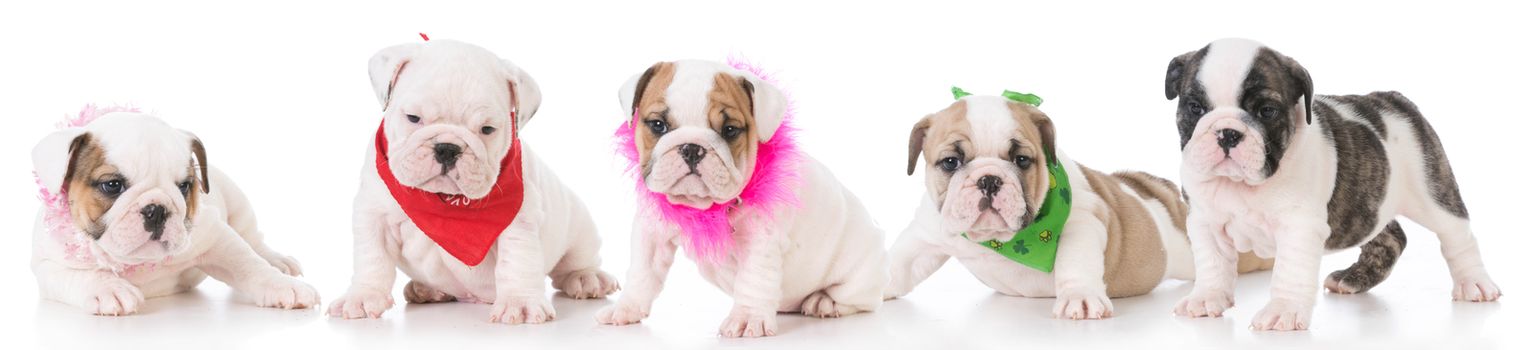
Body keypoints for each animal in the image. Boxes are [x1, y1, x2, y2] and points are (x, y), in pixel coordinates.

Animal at [31, 108, 319, 314]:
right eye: (112, 185)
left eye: (184, 186)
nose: (157, 209)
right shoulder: (46, 267)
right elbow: (78, 275)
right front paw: (108, 288)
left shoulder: (216, 237)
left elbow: (248, 264)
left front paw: (284, 286)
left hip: (239, 204)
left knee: (254, 241)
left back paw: (278, 261)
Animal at [329, 39, 616, 323]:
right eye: (413, 118)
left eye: (487, 129)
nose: (447, 148)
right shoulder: (373, 215)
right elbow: (372, 258)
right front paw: (362, 296)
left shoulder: (518, 223)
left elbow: (518, 261)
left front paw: (520, 302)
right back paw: (426, 289)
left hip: (579, 226)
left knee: (575, 260)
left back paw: (587, 277)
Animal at [595, 59, 889, 336]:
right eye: (658, 125)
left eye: (730, 130)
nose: (691, 147)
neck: (704, 207)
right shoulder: (651, 234)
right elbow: (642, 273)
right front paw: (626, 308)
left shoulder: (760, 243)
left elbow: (753, 279)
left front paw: (748, 318)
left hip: (859, 276)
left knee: (863, 300)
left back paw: (825, 301)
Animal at [883, 94, 1276, 319]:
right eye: (950, 162)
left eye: (1022, 160)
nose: (989, 179)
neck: (1004, 242)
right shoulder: (925, 234)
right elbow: (899, 263)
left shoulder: (1084, 222)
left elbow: (1076, 261)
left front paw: (1080, 297)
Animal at [1159, 38, 1497, 331]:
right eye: (1195, 107)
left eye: (1267, 111)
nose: (1228, 132)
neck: (1243, 185)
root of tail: (1392, 99)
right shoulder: (1206, 222)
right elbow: (1213, 264)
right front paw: (1206, 299)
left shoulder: (1299, 227)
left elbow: (1290, 270)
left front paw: (1283, 311)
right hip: (1368, 204)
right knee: (1390, 237)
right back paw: (1354, 278)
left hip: (1431, 191)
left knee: (1457, 236)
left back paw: (1474, 284)